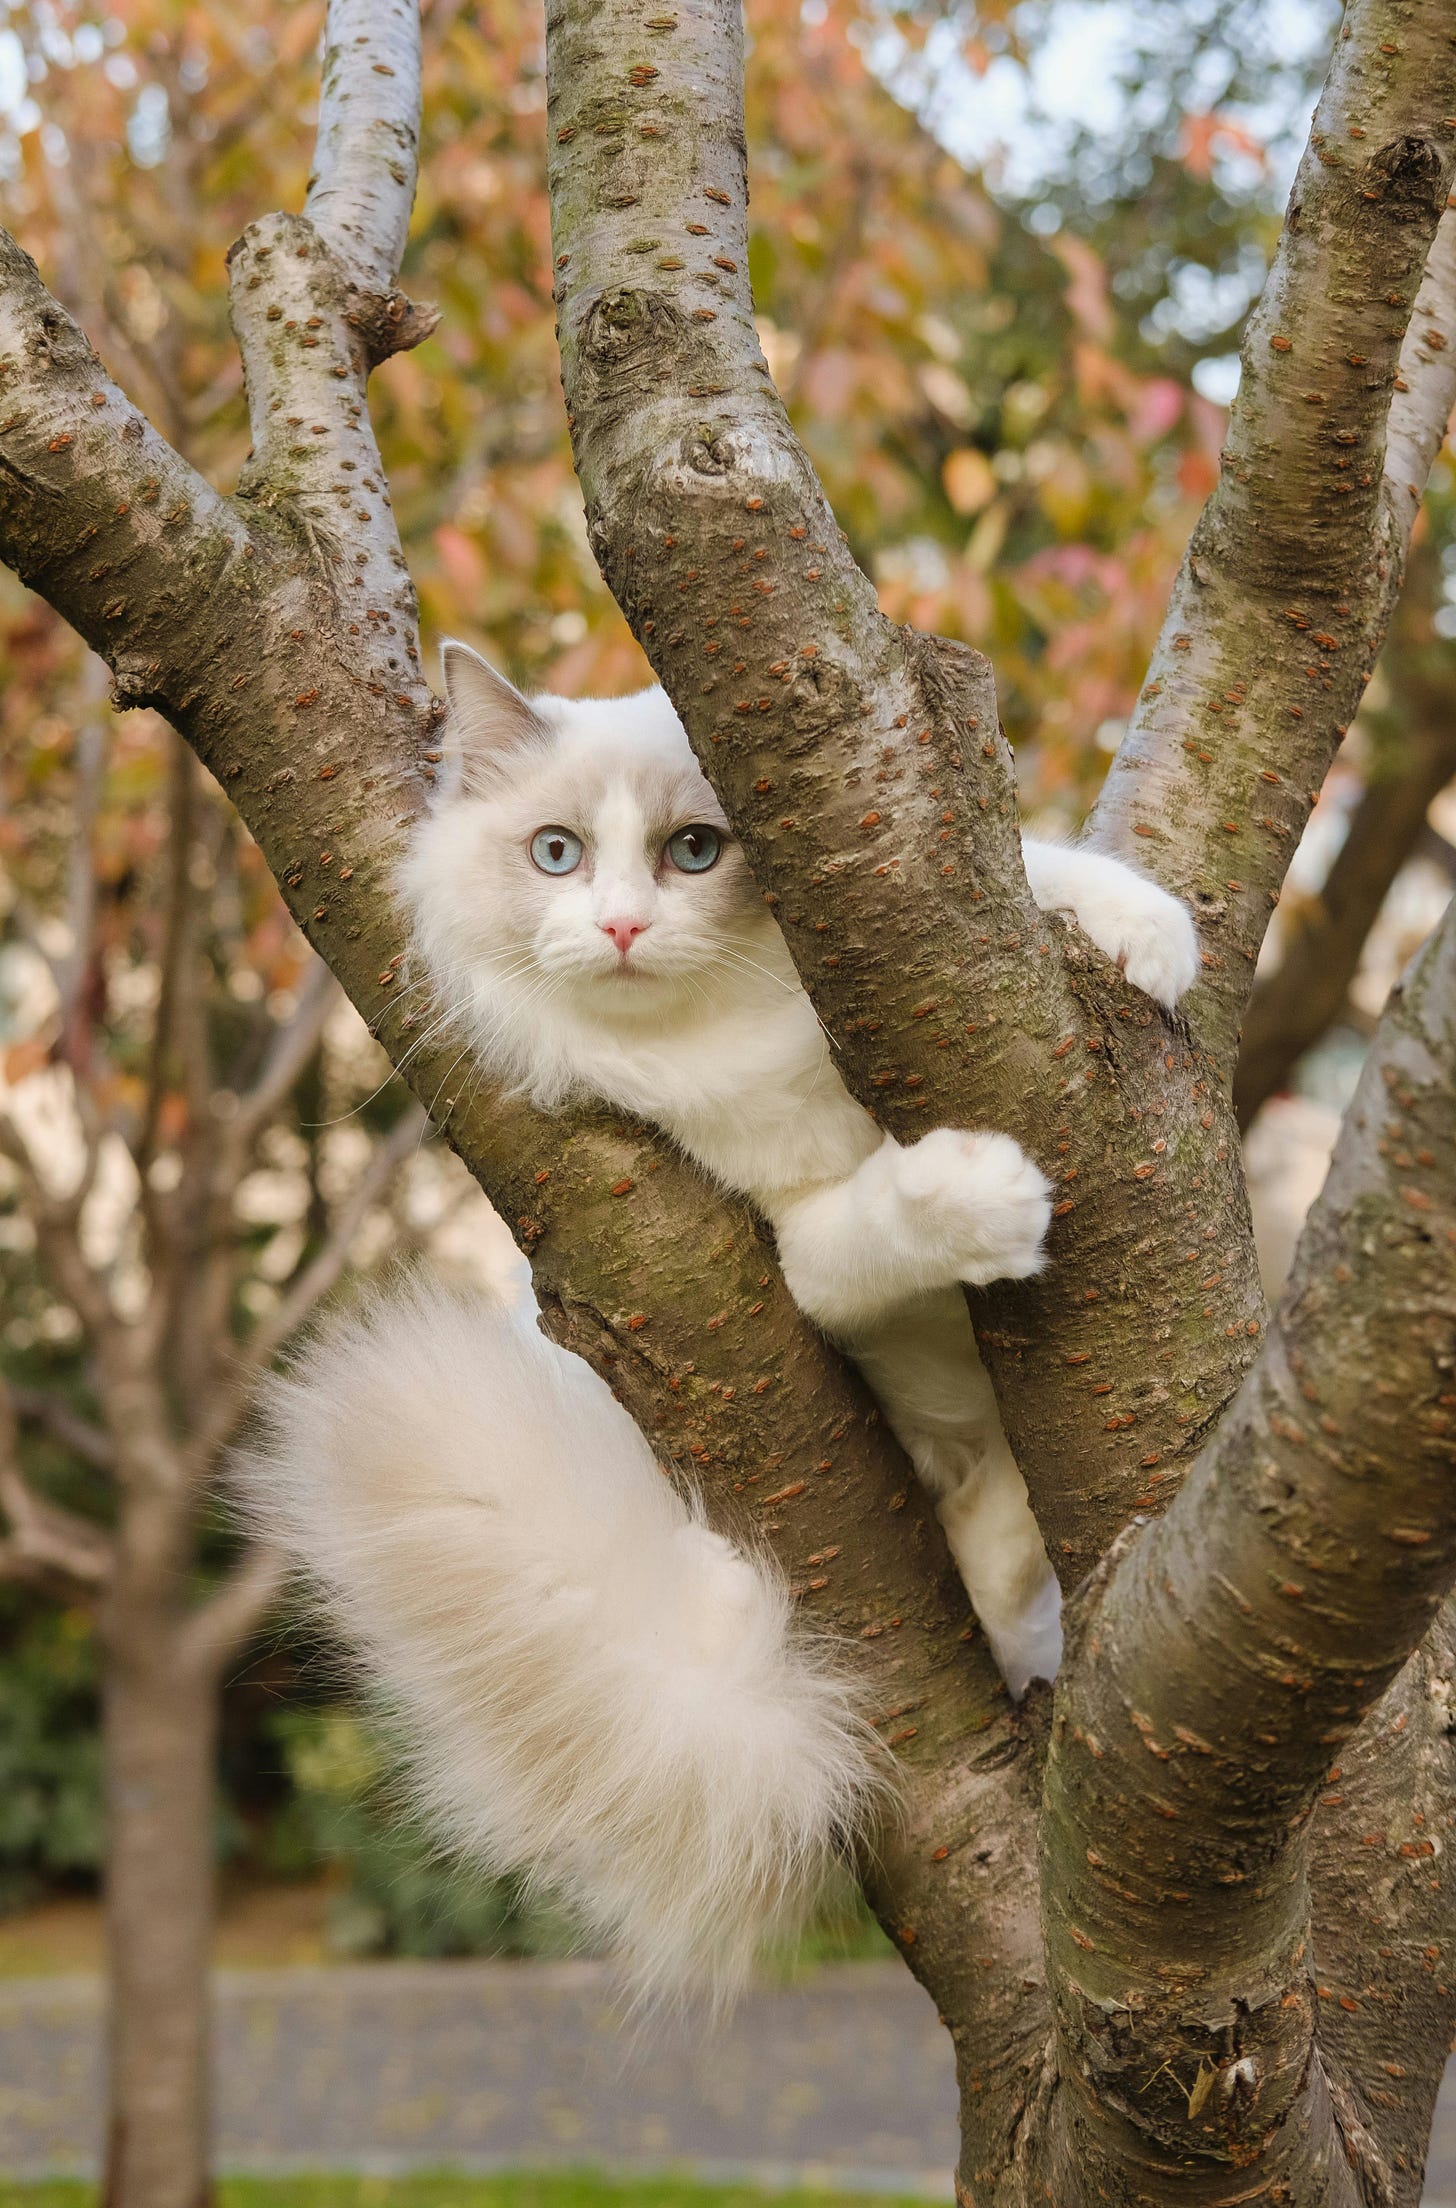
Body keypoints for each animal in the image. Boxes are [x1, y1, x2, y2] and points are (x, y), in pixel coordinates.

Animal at [241, 640, 1193, 2004]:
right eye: (557, 855)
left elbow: (1045, 874)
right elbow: (871, 1223)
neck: (739, 1032)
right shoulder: (787, 1239)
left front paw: (1151, 936)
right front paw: (991, 1197)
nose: (623, 927)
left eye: (695, 851)